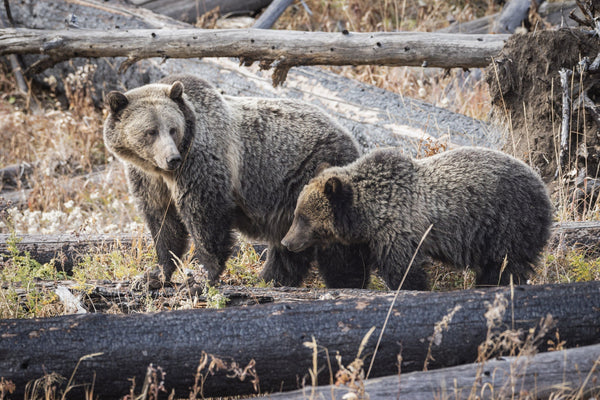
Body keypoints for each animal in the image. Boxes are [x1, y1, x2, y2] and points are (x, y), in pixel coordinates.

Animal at [102, 74, 370, 288]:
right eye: (150, 131)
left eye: (172, 129)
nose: (172, 158)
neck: (162, 170)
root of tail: (350, 137)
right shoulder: (149, 179)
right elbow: (163, 222)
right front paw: (153, 275)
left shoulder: (200, 163)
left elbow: (205, 217)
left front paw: (201, 277)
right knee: (287, 244)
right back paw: (271, 279)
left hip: (314, 172)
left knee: (335, 242)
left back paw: (347, 281)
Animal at [282, 147, 552, 290]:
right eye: (296, 214)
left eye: (303, 217)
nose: (287, 241)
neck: (368, 215)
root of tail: (543, 187)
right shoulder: (364, 239)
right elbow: (350, 267)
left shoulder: (397, 229)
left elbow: (404, 268)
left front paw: (411, 287)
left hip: (508, 222)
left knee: (505, 264)